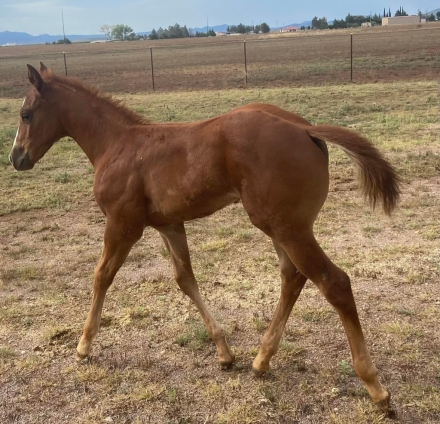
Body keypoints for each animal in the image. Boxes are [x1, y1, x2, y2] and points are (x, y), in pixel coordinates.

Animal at [9, 63, 398, 410]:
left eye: (26, 114)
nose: (16, 158)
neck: (116, 145)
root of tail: (306, 128)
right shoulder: (169, 225)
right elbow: (185, 279)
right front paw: (225, 353)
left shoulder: (123, 224)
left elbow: (102, 275)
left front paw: (83, 346)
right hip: (282, 225)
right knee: (293, 277)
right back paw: (261, 361)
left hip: (287, 227)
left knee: (334, 282)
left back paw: (376, 389)